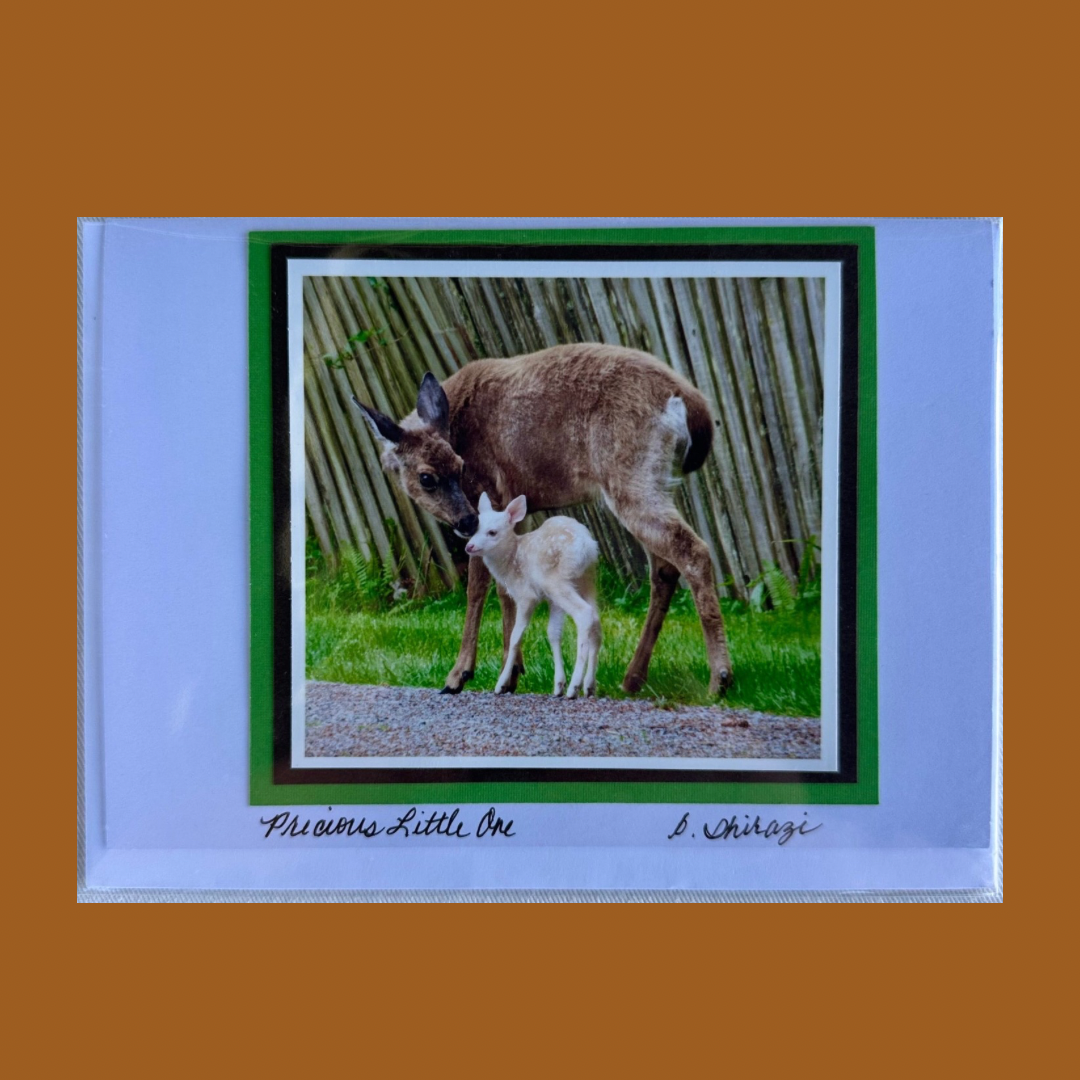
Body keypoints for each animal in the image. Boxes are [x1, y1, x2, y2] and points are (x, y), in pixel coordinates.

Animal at [354, 347, 734, 699]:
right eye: (428, 477)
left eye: (459, 467)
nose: (465, 520)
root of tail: (694, 406)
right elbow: (506, 587)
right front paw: (511, 671)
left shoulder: (492, 491)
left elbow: (479, 587)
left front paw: (460, 675)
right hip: (654, 482)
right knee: (664, 568)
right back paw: (632, 678)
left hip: (631, 474)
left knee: (693, 551)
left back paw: (719, 680)